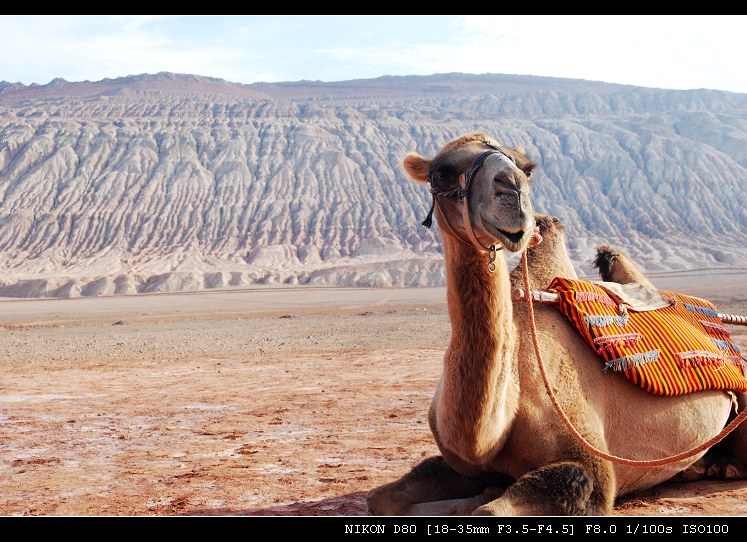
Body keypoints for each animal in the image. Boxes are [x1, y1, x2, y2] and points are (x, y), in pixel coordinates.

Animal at [366, 133, 747, 520]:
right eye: (441, 173)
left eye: (527, 168)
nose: (513, 190)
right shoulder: (462, 466)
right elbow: (380, 498)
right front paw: (481, 491)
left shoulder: (592, 466)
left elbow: (493, 510)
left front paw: (484, 497)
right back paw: (700, 467)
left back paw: (723, 468)